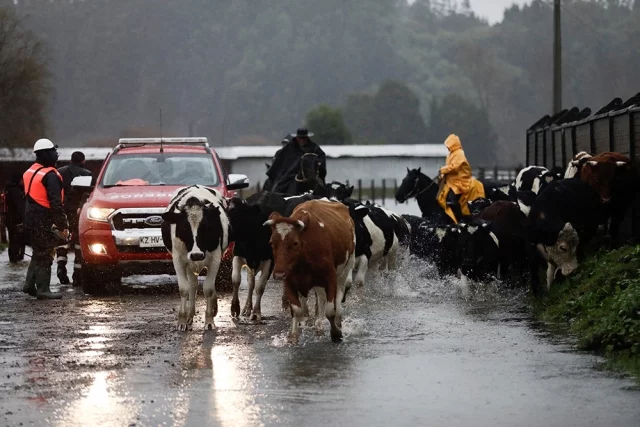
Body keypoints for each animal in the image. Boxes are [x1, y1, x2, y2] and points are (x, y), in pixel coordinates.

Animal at [264, 201, 356, 344]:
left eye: (295, 243)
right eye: (271, 242)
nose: (278, 274)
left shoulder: (330, 278)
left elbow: (330, 310)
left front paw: (336, 333)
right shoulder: (289, 280)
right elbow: (297, 310)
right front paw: (293, 336)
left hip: (344, 270)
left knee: (338, 298)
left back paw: (336, 322)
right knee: (320, 300)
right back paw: (318, 327)